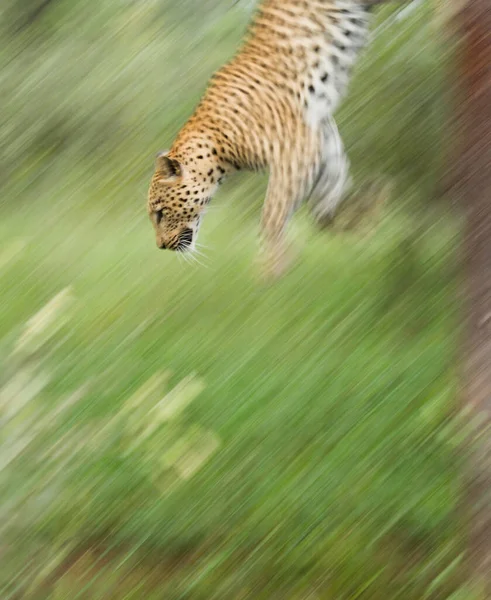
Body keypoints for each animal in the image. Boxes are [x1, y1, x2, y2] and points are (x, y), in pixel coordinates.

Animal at [148, 0, 394, 278]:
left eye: (160, 213)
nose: (161, 245)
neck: (214, 144)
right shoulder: (321, 138)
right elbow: (325, 207)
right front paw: (366, 211)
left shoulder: (293, 150)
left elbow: (272, 214)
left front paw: (272, 267)